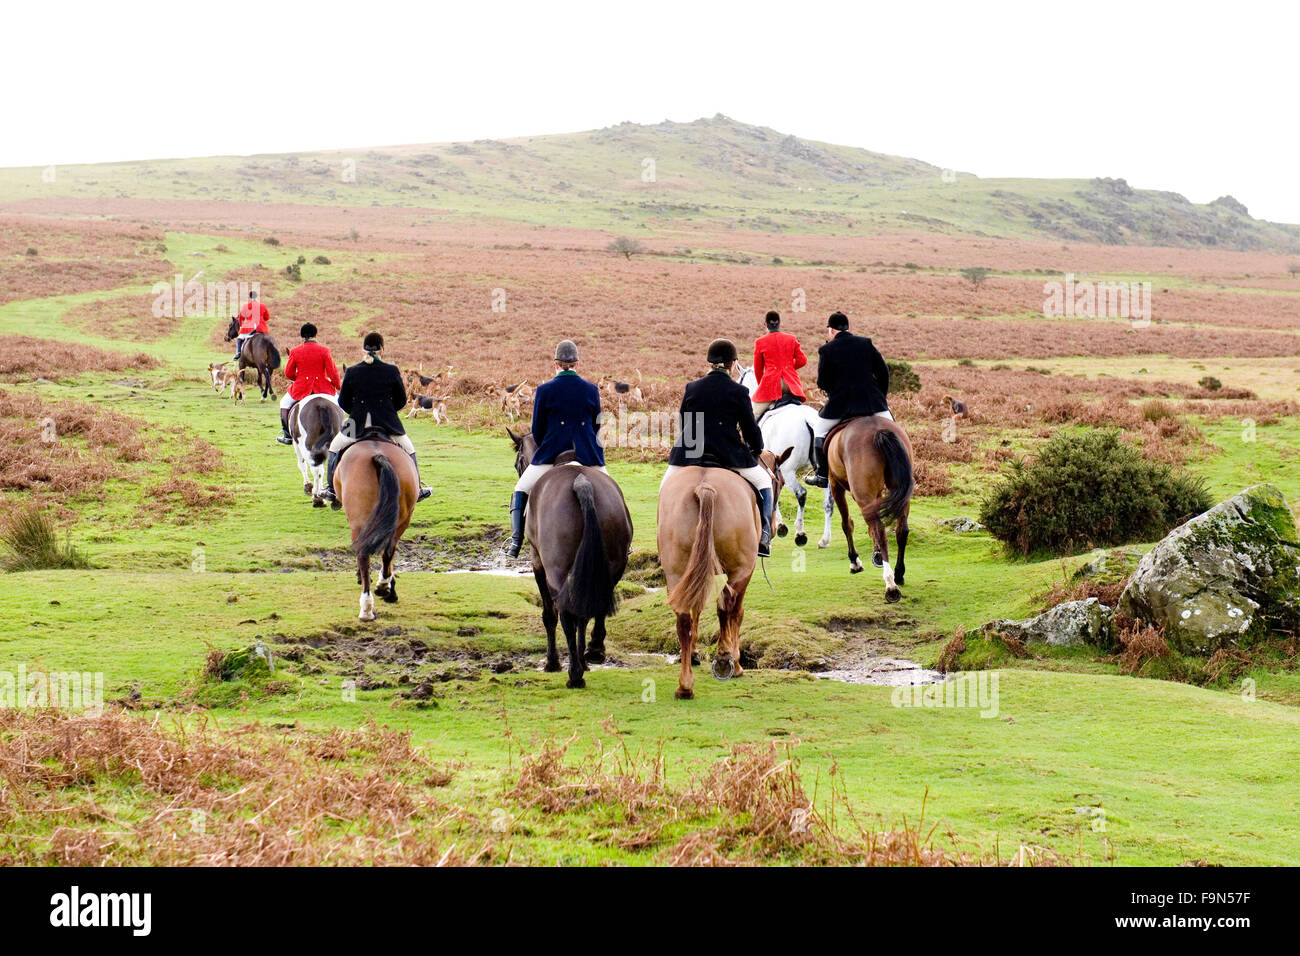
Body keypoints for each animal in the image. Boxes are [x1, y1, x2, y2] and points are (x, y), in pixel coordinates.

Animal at [338, 439, 418, 624]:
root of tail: (378, 455)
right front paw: (390, 588)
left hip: (359, 522)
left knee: (363, 554)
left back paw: (366, 607)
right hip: (402, 519)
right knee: (389, 552)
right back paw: (383, 586)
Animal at [504, 429, 631, 686]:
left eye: (517, 462)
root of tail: (581, 482)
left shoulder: (538, 564)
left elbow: (549, 615)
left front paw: (553, 663)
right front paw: (582, 660)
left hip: (557, 572)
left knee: (564, 612)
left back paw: (574, 675)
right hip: (611, 566)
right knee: (592, 606)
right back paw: (593, 651)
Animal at [655, 447, 785, 702]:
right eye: (782, 483)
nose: (776, 528)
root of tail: (704, 487)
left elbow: (697, 609)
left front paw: (694, 653)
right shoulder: (745, 571)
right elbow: (736, 612)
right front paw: (734, 659)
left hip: (676, 571)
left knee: (683, 616)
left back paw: (685, 685)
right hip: (740, 567)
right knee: (727, 605)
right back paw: (726, 661)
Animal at [733, 364, 832, 548]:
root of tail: (808, 419)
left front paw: (779, 526)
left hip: (788, 471)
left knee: (801, 494)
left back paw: (800, 533)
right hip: (823, 472)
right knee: (829, 501)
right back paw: (824, 539)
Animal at [821, 416, 915, 600]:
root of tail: (878, 430)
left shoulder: (835, 484)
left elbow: (847, 524)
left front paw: (855, 562)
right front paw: (876, 555)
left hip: (862, 495)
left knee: (880, 532)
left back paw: (890, 585)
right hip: (901, 495)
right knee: (901, 531)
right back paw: (898, 574)